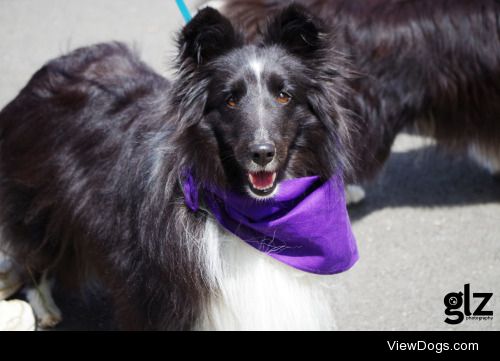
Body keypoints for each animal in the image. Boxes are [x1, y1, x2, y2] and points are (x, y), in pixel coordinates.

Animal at [0, 5, 354, 330]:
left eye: (284, 96)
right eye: (230, 100)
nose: (262, 153)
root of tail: (56, 66)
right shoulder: (156, 296)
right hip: (40, 201)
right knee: (34, 255)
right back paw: (44, 308)